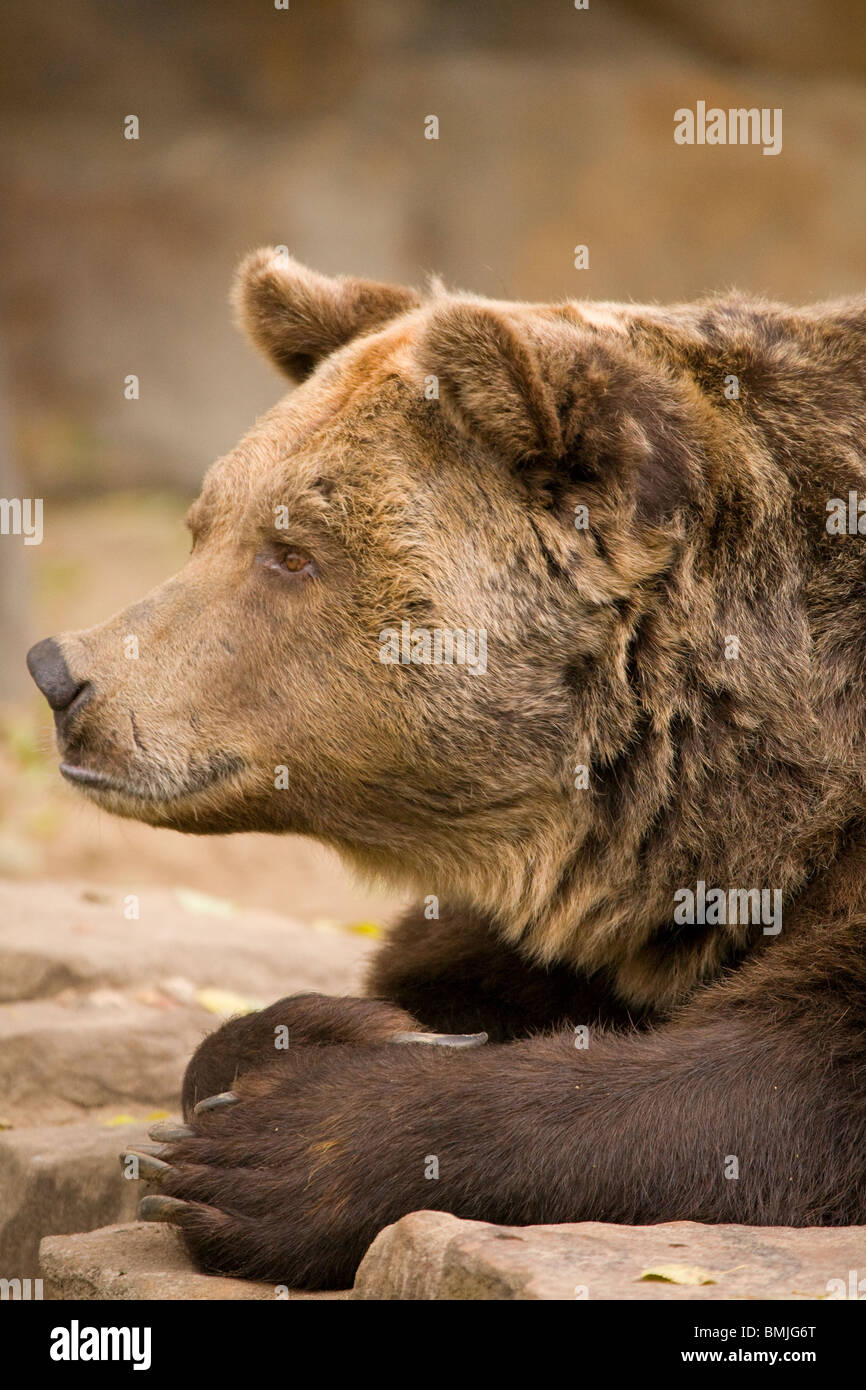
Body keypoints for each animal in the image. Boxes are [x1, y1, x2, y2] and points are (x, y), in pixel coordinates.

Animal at [26, 248, 866, 1290]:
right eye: (203, 525)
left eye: (291, 551)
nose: (62, 674)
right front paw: (321, 1035)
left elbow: (787, 1075)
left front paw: (283, 1145)